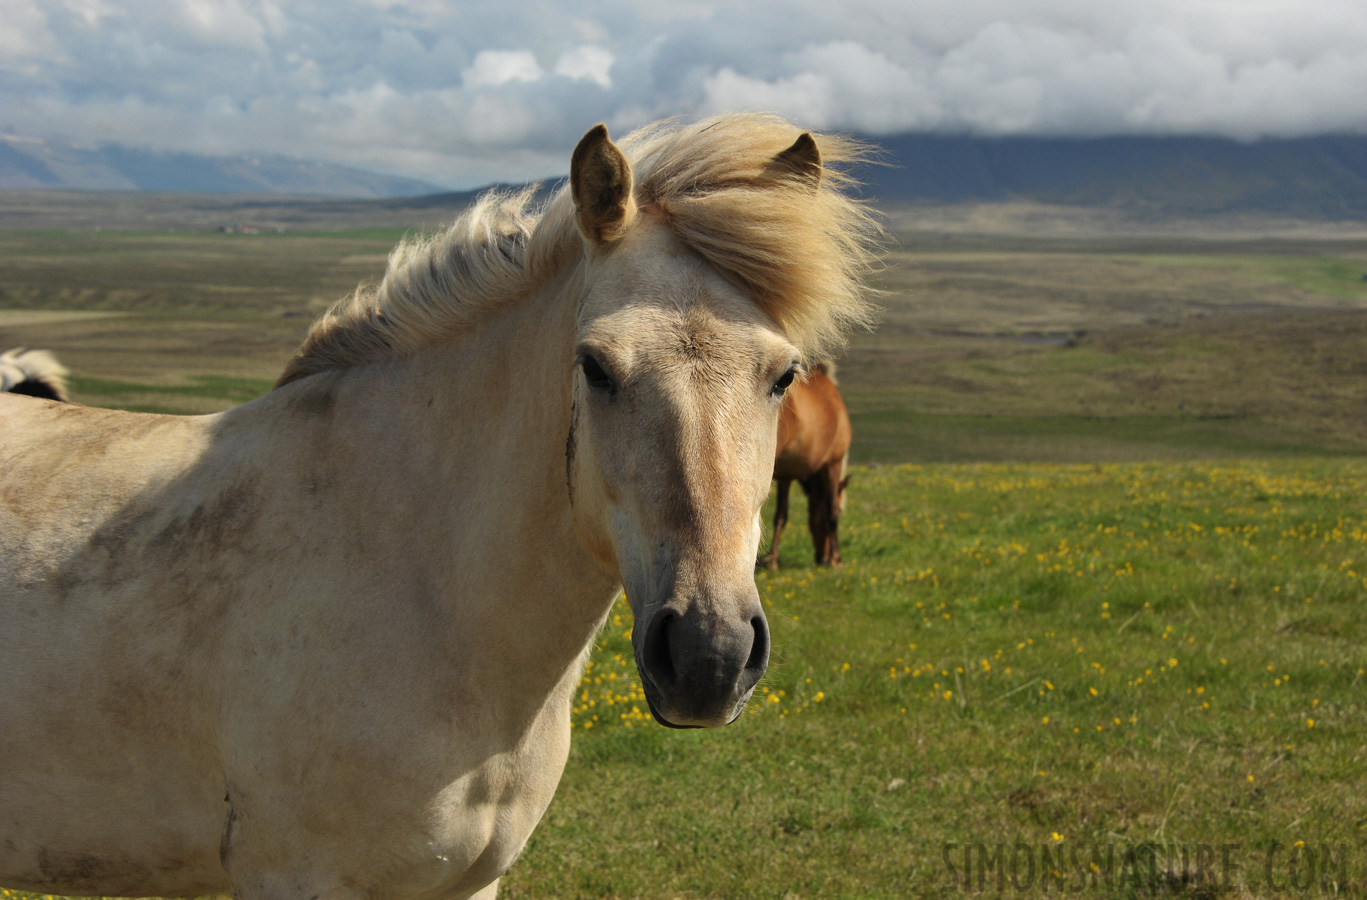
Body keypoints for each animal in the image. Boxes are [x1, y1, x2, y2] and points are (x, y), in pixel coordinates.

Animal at [765, 358, 847, 563]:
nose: (821, 556)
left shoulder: (785, 475)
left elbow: (781, 515)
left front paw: (772, 558)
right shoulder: (833, 464)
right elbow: (831, 511)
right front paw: (836, 558)